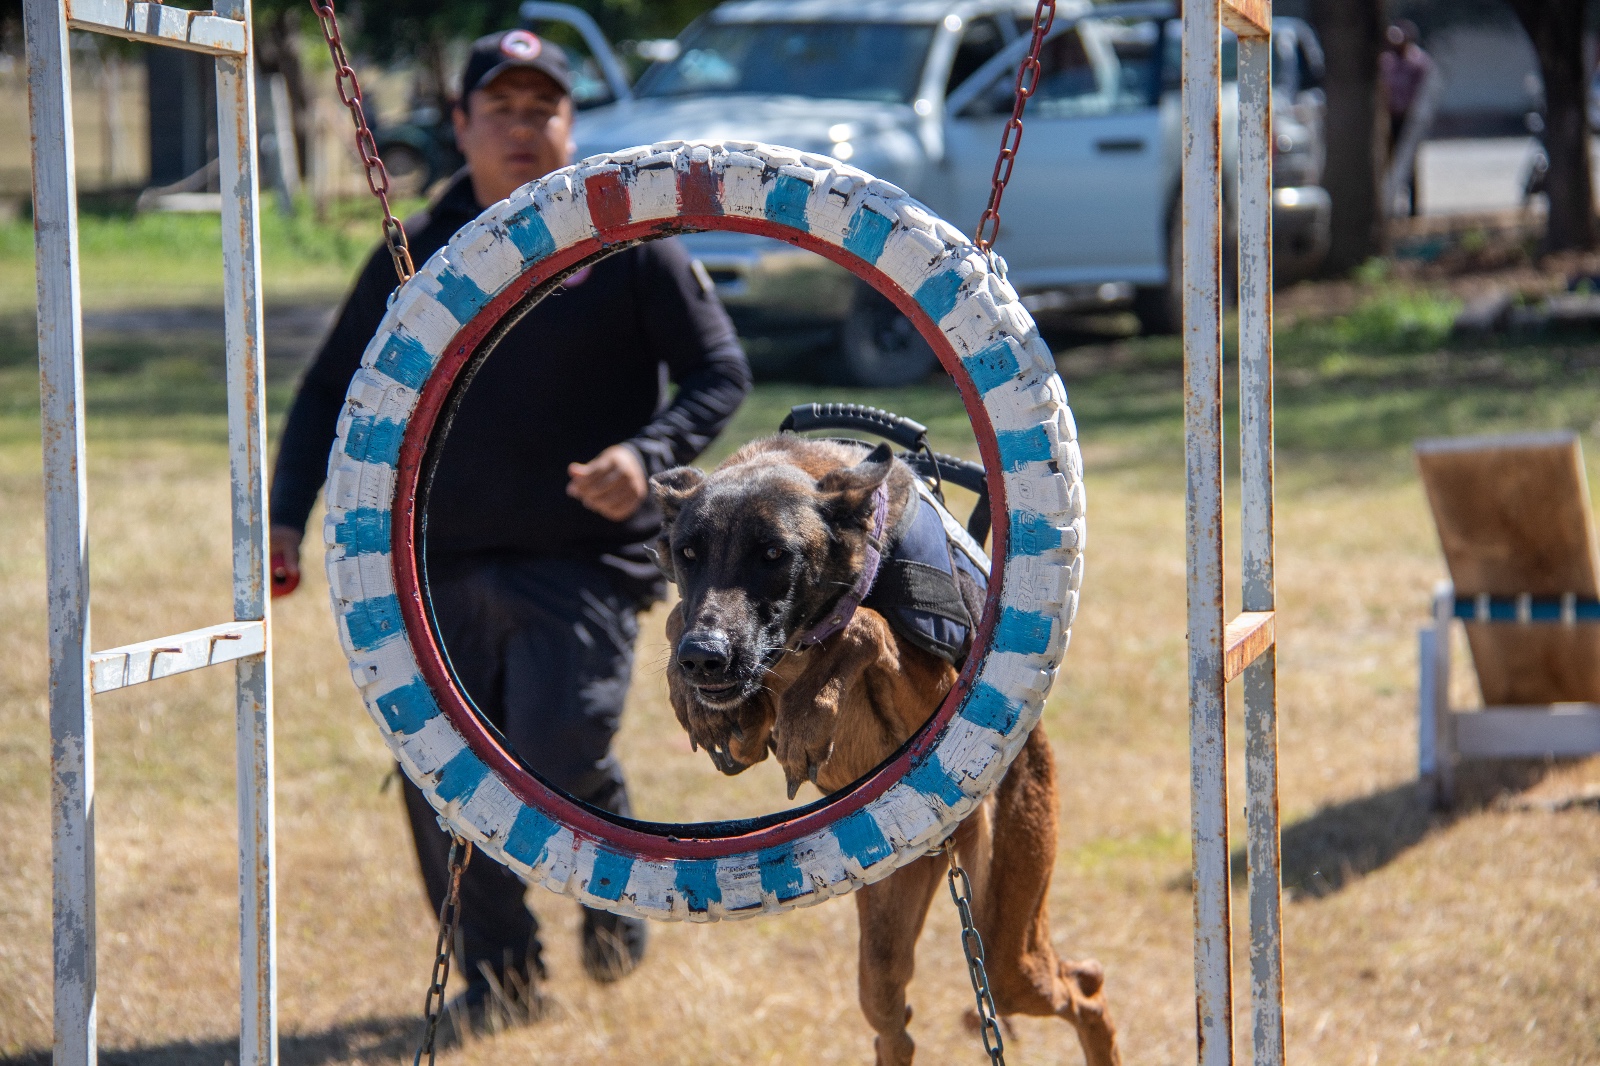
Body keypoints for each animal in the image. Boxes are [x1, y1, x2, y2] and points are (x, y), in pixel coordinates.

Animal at [649, 435, 1126, 1062]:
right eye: (687, 553)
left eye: (774, 554)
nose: (703, 658)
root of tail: (941, 845)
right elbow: (677, 618)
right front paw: (698, 702)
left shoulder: (935, 690)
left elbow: (866, 623)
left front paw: (812, 704)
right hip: (888, 937)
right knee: (892, 1020)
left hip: (1007, 939)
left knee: (1082, 987)